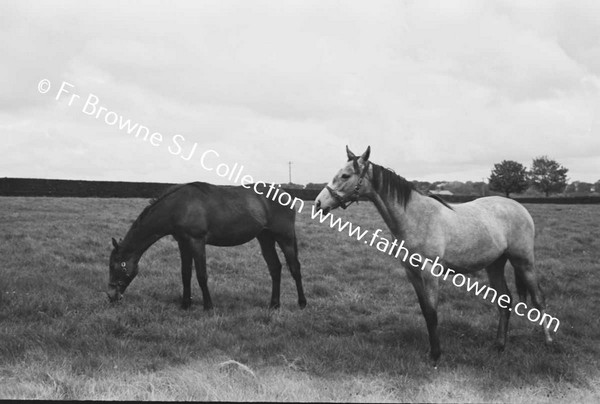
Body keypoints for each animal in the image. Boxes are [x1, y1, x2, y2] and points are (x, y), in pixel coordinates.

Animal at [105, 181, 308, 310]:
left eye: (115, 267)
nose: (111, 296)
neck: (178, 206)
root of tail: (286, 195)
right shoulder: (183, 244)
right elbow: (185, 274)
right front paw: (185, 304)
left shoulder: (197, 242)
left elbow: (201, 275)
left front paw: (208, 307)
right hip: (265, 238)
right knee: (275, 268)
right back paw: (274, 304)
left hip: (285, 237)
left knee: (294, 268)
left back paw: (302, 303)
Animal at [314, 145, 552, 362]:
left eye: (345, 175)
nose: (318, 203)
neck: (415, 216)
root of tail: (519, 207)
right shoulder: (412, 272)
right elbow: (425, 311)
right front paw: (433, 351)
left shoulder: (430, 272)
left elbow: (432, 311)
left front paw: (436, 354)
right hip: (494, 264)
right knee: (505, 301)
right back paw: (500, 345)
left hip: (523, 261)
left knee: (538, 298)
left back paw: (548, 341)